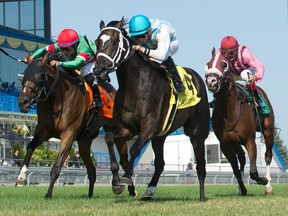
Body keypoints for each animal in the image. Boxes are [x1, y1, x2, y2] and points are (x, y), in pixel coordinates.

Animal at [16, 53, 118, 198]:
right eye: (23, 76)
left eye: (41, 77)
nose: (22, 102)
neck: (57, 100)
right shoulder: (43, 131)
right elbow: (30, 147)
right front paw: (21, 177)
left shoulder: (68, 134)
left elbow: (56, 167)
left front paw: (48, 195)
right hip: (85, 141)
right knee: (91, 170)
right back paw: (90, 194)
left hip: (112, 126)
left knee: (112, 142)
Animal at [93, 17, 210, 201]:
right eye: (97, 42)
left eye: (113, 42)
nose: (99, 70)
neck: (135, 85)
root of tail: (198, 78)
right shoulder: (128, 128)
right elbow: (109, 138)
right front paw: (116, 181)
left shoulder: (147, 128)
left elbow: (134, 149)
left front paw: (125, 178)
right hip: (159, 136)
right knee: (160, 163)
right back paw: (149, 190)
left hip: (197, 132)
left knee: (201, 165)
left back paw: (202, 196)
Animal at [205, 48, 274, 195]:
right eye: (208, 64)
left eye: (224, 64)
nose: (211, 81)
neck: (230, 113)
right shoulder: (225, 144)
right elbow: (235, 169)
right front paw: (242, 188)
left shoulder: (250, 140)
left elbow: (253, 171)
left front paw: (263, 180)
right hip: (235, 143)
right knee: (241, 157)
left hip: (268, 130)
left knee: (267, 155)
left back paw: (268, 186)